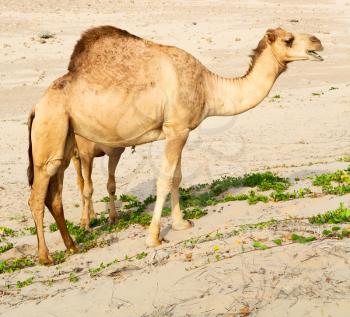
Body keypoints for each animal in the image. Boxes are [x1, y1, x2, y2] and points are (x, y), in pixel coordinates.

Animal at [26, 25, 322, 264]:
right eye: (288, 39)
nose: (318, 42)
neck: (208, 86)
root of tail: (36, 107)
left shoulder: (180, 130)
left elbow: (177, 177)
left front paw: (181, 223)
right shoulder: (177, 129)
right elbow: (165, 179)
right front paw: (154, 237)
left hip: (64, 139)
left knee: (55, 195)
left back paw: (72, 246)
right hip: (51, 128)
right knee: (37, 197)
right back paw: (45, 256)